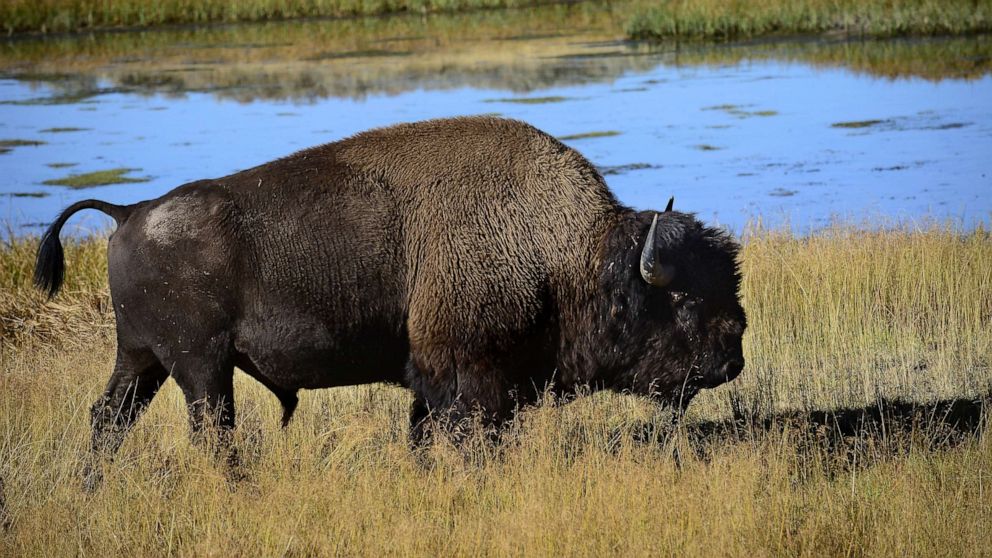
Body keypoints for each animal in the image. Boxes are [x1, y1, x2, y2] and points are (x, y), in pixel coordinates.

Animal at [35, 118, 744, 486]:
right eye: (682, 298)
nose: (732, 356)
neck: (567, 253)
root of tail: (129, 211)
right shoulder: (471, 379)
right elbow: (470, 433)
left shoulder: (433, 381)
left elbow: (424, 431)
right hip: (199, 366)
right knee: (211, 429)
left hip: (142, 361)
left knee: (109, 418)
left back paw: (93, 483)